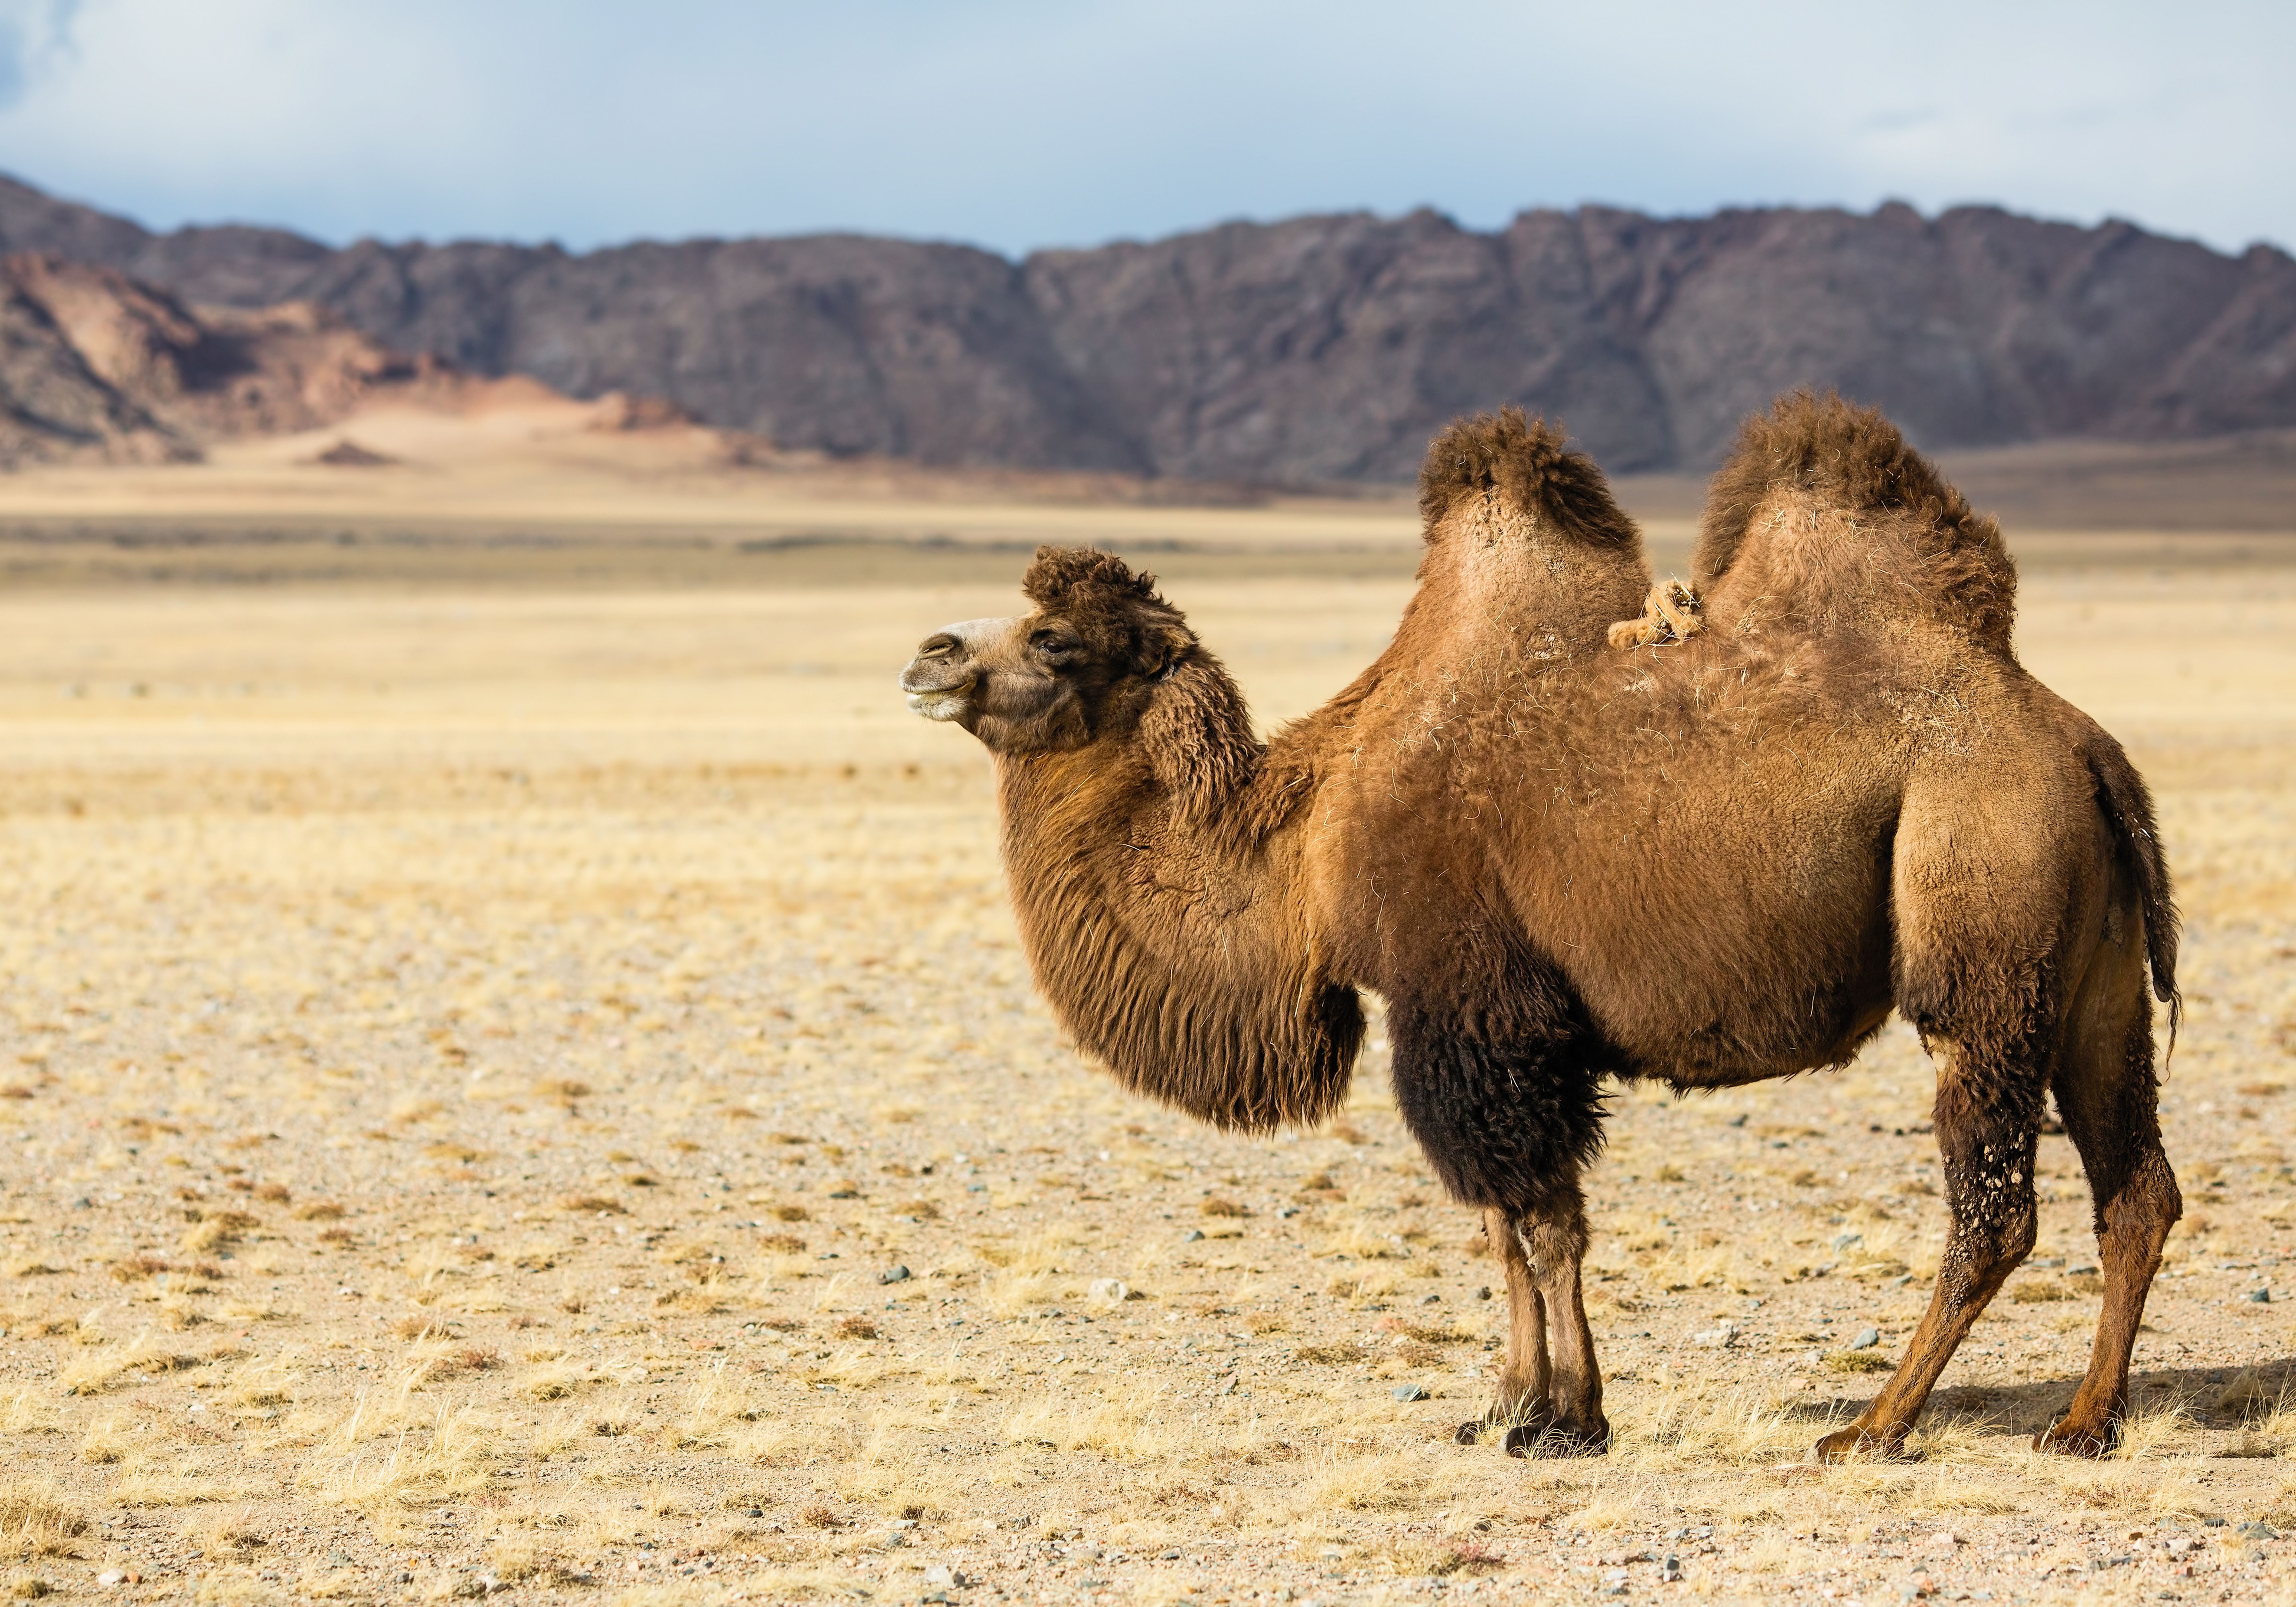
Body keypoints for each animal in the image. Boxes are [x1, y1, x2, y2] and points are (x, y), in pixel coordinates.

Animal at [898, 393, 2180, 1461]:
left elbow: (1539, 1218)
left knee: (1995, 1204)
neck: (1305, 840)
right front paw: (1508, 1403)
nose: (928, 653)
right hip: (2092, 980)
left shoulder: (1477, 1011)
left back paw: (1873, 1426)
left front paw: (1561, 1418)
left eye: (1054, 639)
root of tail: (2080, 744)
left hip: (1984, 919)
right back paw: (2082, 1421)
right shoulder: (1479, 1027)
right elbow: (1499, 1226)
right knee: (2137, 1190)